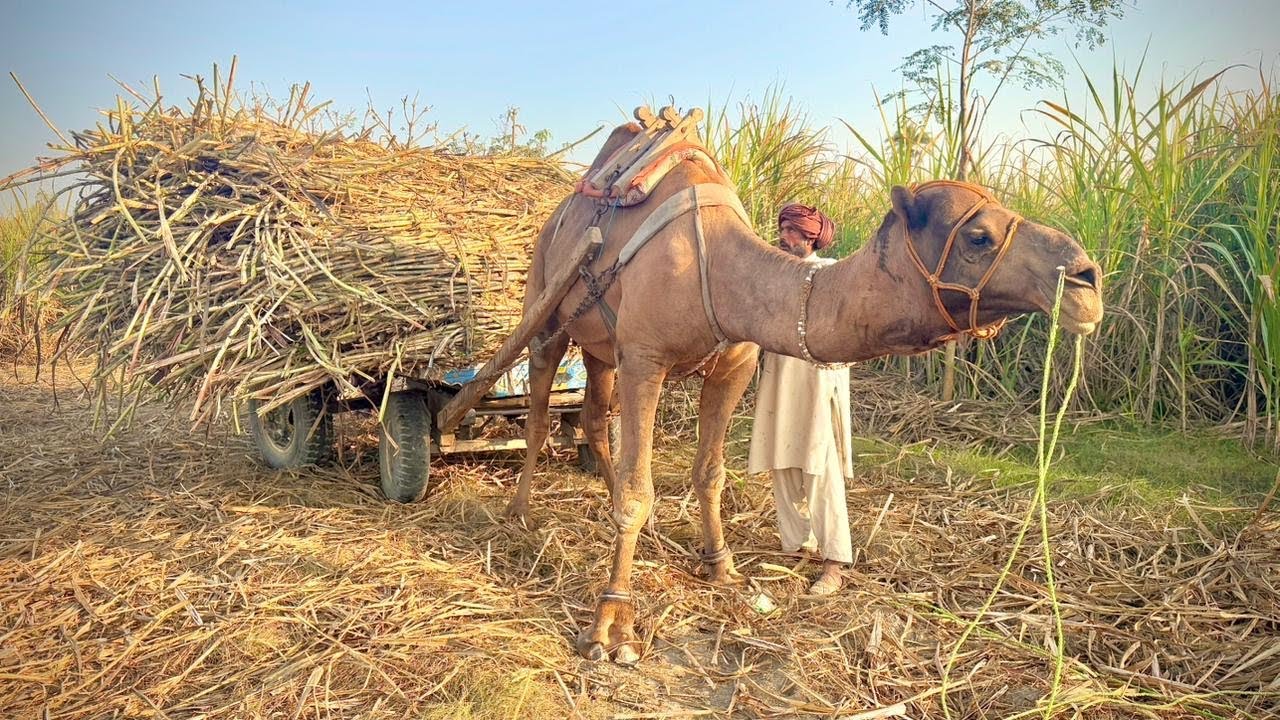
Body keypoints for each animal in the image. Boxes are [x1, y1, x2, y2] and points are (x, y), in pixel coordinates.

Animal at [507, 121, 1104, 665]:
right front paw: (611, 624)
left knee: (591, 417)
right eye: (979, 236)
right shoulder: (644, 359)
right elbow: (638, 490)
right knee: (537, 407)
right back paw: (519, 511)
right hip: (547, 305)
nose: (1086, 279)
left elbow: (710, 472)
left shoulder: (735, 364)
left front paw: (720, 563)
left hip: (600, 348)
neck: (717, 270)